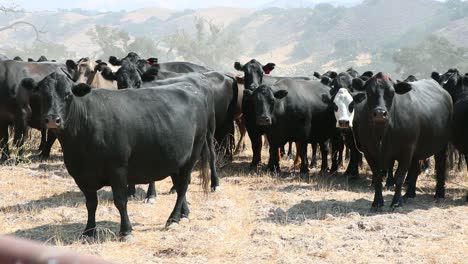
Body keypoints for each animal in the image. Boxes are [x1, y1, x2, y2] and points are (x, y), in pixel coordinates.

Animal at [22, 71, 218, 240]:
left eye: (68, 94)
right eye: (42, 94)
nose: (52, 119)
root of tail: (190, 85)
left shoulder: (117, 169)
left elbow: (120, 201)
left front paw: (126, 231)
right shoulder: (81, 175)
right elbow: (91, 203)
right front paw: (89, 231)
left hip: (193, 154)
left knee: (183, 185)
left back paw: (173, 219)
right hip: (175, 158)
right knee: (178, 185)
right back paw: (184, 213)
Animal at [352, 72, 452, 208]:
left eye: (391, 93)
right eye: (369, 92)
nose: (380, 113)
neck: (382, 133)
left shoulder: (406, 150)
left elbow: (399, 177)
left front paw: (396, 202)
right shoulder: (369, 152)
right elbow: (377, 176)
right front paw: (377, 202)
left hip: (441, 145)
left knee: (440, 165)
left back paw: (439, 194)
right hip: (417, 149)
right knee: (415, 167)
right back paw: (409, 194)